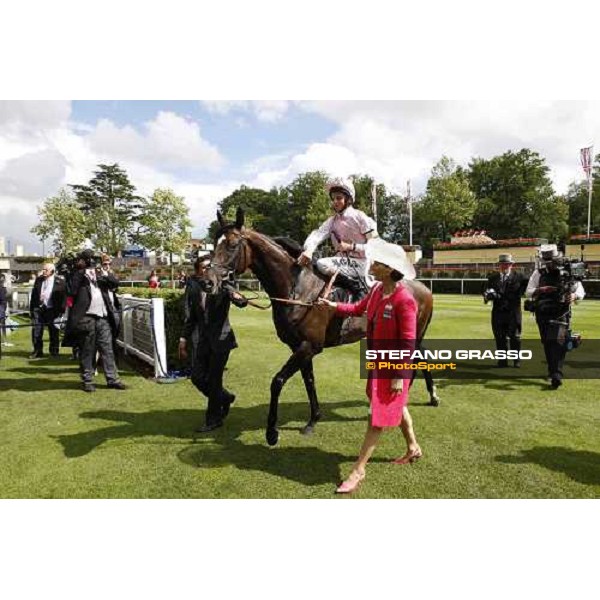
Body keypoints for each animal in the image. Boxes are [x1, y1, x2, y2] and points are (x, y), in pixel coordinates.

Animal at [210, 209, 436, 448]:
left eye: (232, 244)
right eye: (215, 243)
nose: (210, 280)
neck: (298, 289)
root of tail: (423, 287)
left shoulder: (310, 345)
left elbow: (277, 381)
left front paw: (271, 432)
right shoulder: (299, 347)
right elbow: (309, 380)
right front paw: (313, 420)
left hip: (411, 335)